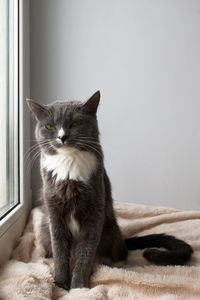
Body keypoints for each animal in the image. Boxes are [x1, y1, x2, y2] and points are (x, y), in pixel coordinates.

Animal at [27, 90, 193, 290]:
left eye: (75, 124)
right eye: (50, 126)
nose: (62, 137)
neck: (69, 167)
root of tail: (121, 238)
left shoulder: (95, 211)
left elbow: (86, 253)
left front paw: (78, 287)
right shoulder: (54, 212)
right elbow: (60, 251)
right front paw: (60, 284)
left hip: (110, 230)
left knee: (121, 253)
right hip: (44, 226)